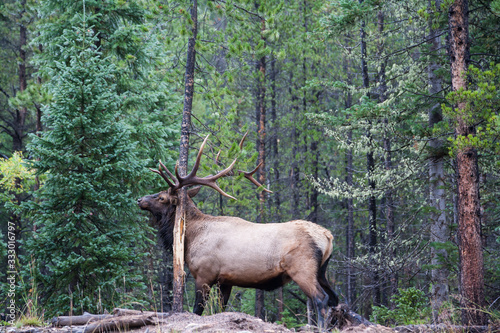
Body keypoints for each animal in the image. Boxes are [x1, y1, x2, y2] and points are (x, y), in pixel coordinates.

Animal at [138, 134, 340, 326]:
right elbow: (221, 309)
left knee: (321, 299)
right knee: (335, 300)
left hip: (302, 269)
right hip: (322, 271)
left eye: (162, 197)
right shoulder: (225, 280)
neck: (191, 238)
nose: (140, 200)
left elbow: (197, 310)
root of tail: (328, 236)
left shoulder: (204, 274)